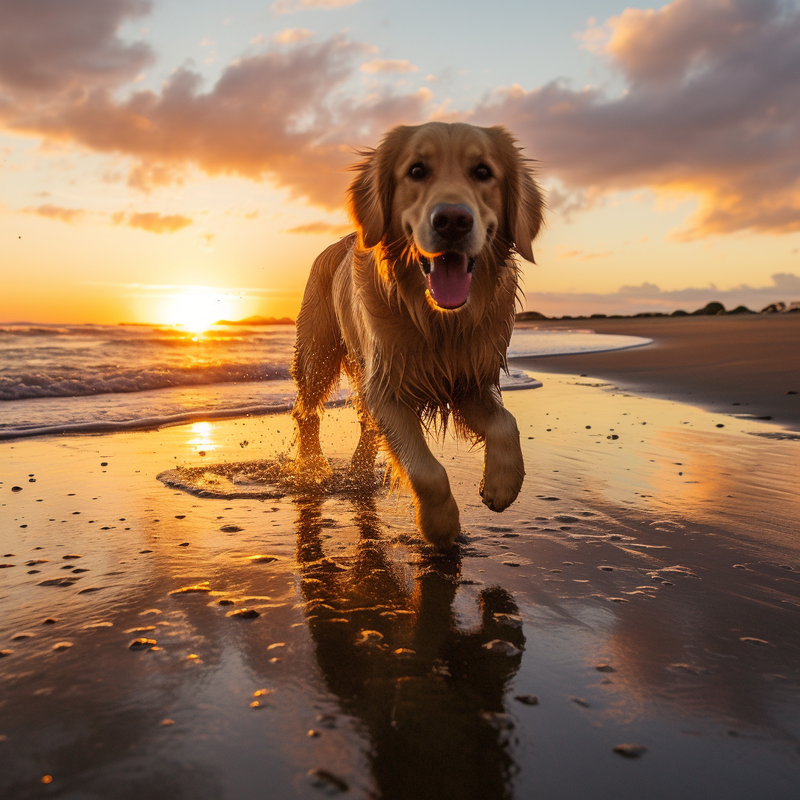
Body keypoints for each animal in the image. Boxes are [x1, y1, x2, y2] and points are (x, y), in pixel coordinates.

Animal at [290, 122, 548, 552]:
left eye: (483, 172)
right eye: (416, 170)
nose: (453, 220)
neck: (438, 321)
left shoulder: (468, 381)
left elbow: (505, 422)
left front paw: (501, 486)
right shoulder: (387, 387)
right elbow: (426, 470)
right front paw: (440, 527)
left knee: (366, 426)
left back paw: (358, 474)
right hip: (318, 354)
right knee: (306, 411)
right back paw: (314, 466)